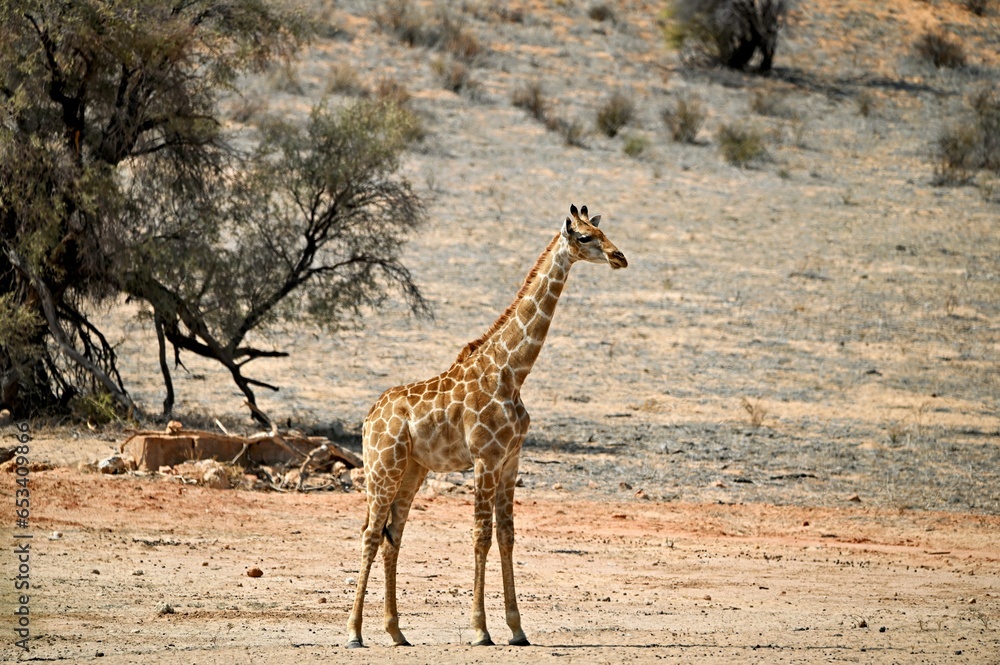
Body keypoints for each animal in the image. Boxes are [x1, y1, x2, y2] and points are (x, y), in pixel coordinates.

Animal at [346, 204, 628, 648]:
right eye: (585, 237)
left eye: (603, 231)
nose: (620, 257)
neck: (512, 371)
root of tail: (369, 417)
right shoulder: (484, 457)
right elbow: (480, 535)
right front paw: (480, 630)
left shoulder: (511, 460)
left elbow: (507, 536)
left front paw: (517, 629)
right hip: (382, 467)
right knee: (371, 533)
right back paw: (355, 633)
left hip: (412, 470)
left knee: (394, 535)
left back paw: (397, 632)